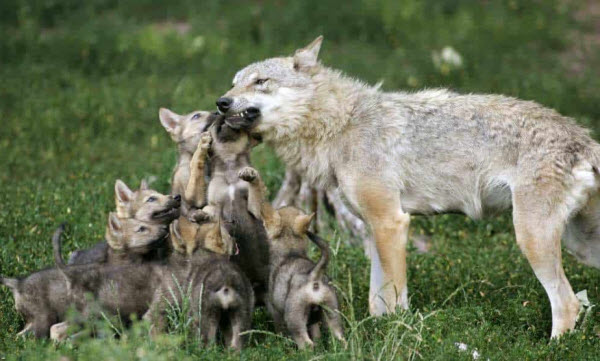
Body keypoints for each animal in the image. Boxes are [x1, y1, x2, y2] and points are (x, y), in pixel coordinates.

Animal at [218, 36, 600, 338]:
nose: (221, 102)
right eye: (234, 83)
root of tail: (584, 139)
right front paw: (378, 332)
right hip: (579, 246)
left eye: (260, 81)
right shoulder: (374, 230)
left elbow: (395, 300)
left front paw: (394, 332)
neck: (341, 125)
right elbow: (377, 301)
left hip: (532, 239)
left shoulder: (392, 223)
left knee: (568, 304)